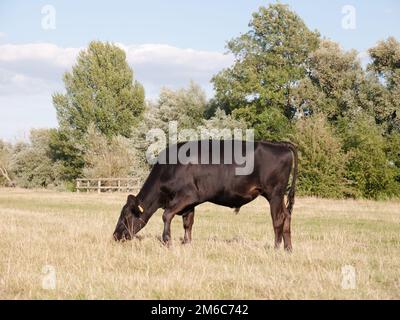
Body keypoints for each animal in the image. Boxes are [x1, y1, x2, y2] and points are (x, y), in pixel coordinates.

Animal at [112, 140, 296, 250]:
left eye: (126, 216)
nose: (115, 236)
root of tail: (281, 145)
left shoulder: (188, 195)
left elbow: (166, 215)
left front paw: (168, 241)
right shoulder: (189, 204)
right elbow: (188, 223)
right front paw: (187, 244)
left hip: (274, 193)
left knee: (278, 218)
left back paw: (276, 248)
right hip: (278, 196)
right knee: (287, 216)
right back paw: (288, 248)